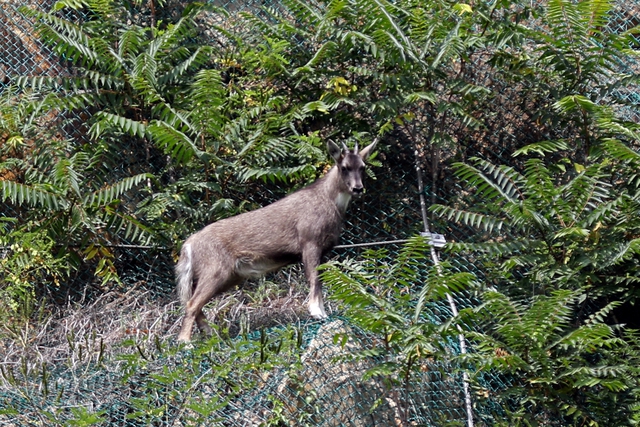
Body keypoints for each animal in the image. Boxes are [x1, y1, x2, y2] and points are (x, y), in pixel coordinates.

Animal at [172, 139, 378, 342]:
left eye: (363, 167)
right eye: (344, 167)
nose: (357, 188)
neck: (330, 202)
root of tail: (188, 245)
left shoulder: (324, 250)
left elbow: (320, 279)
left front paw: (323, 312)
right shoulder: (310, 243)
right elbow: (313, 279)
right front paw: (317, 312)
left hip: (226, 275)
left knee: (193, 302)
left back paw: (208, 334)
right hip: (214, 270)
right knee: (191, 303)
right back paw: (185, 342)